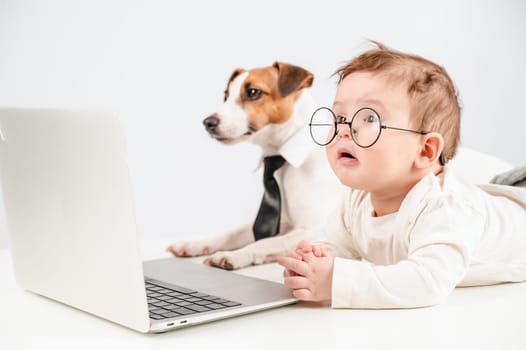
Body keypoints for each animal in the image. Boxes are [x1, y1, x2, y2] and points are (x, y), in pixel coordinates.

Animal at [167, 62, 344, 270]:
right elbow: (232, 233)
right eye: (226, 95)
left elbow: (266, 242)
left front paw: (234, 254)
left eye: (253, 92)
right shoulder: (283, 222)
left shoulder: (315, 230)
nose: (208, 122)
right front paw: (195, 244)